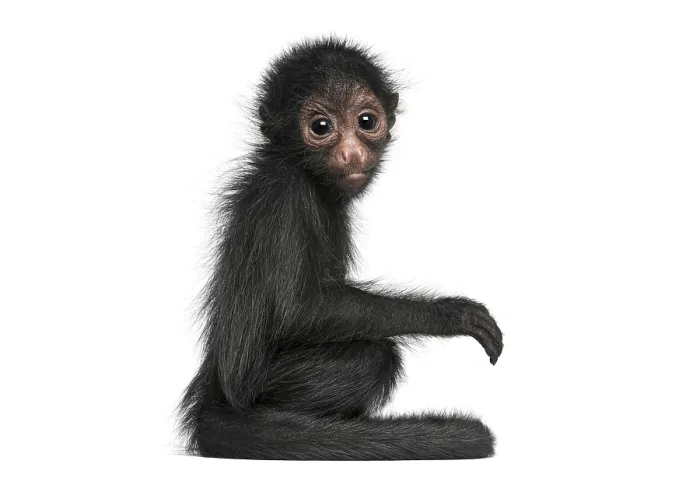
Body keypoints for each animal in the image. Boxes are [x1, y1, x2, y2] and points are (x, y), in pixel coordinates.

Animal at [178, 37, 504, 460]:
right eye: (321, 127)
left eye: (366, 121)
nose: (351, 154)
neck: (300, 171)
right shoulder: (286, 195)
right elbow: (298, 310)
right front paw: (450, 314)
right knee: (374, 356)